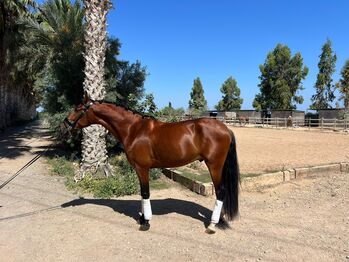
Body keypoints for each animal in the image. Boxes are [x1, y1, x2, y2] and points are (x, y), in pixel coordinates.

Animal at [62, 95, 238, 233]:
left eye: (78, 108)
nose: (64, 124)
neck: (133, 129)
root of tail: (225, 129)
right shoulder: (138, 169)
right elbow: (142, 193)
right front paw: (142, 218)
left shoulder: (142, 168)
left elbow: (146, 193)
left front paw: (145, 222)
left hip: (214, 165)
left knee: (221, 192)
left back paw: (212, 225)